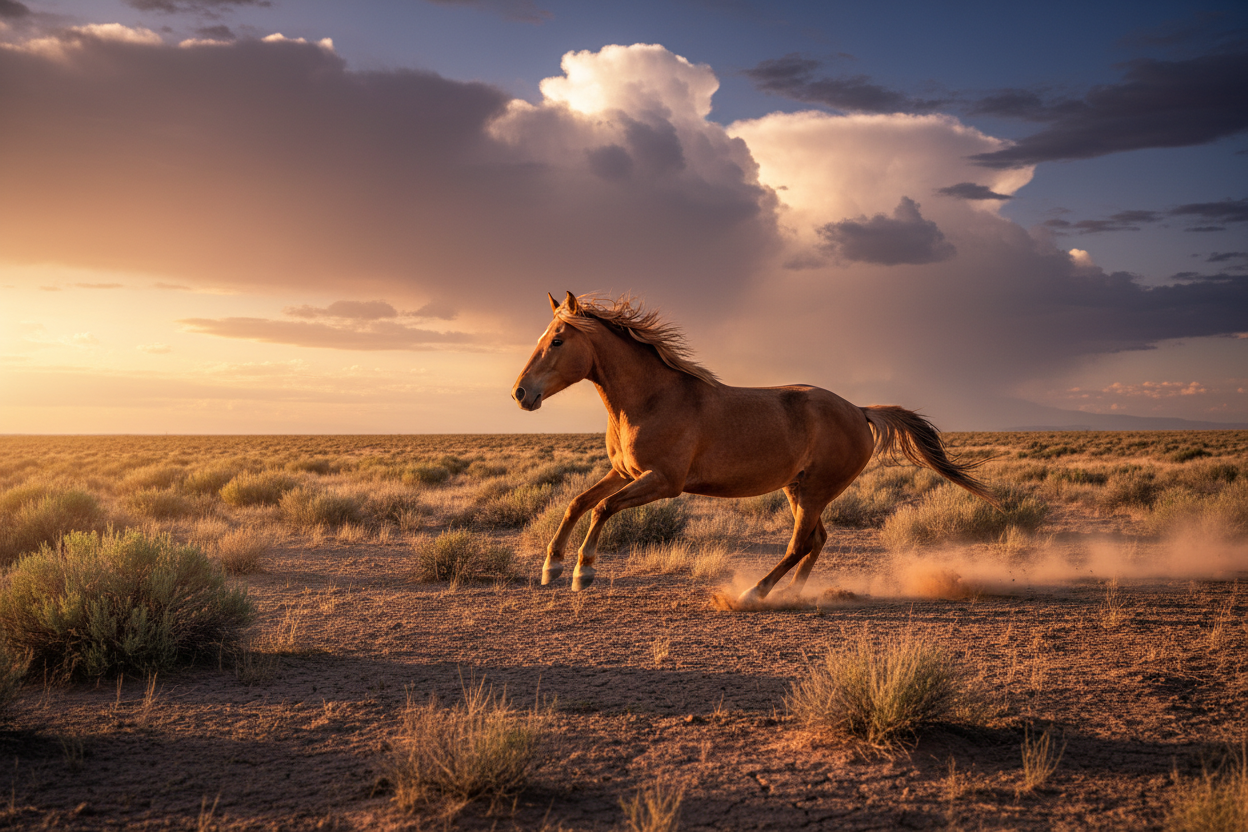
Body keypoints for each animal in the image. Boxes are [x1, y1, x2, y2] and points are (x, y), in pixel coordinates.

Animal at [511, 292, 997, 602]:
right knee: (817, 540)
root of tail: (859, 410)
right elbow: (577, 502)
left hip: (815, 490)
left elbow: (602, 508)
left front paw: (583, 571)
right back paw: (795, 594)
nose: (520, 393)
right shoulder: (625, 473)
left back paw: (753, 593)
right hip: (798, 489)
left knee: (799, 545)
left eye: (557, 341)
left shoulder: (663, 482)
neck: (652, 398)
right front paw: (551, 567)